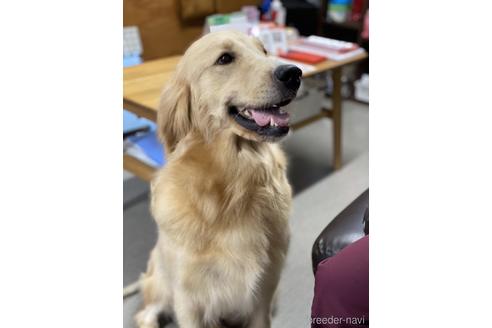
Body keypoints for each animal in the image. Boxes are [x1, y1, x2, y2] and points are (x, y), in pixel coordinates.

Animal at [136, 30, 302, 328]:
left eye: (263, 51)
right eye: (225, 58)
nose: (294, 73)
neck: (234, 181)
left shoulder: (263, 294)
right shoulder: (188, 300)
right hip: (161, 284)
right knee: (146, 314)